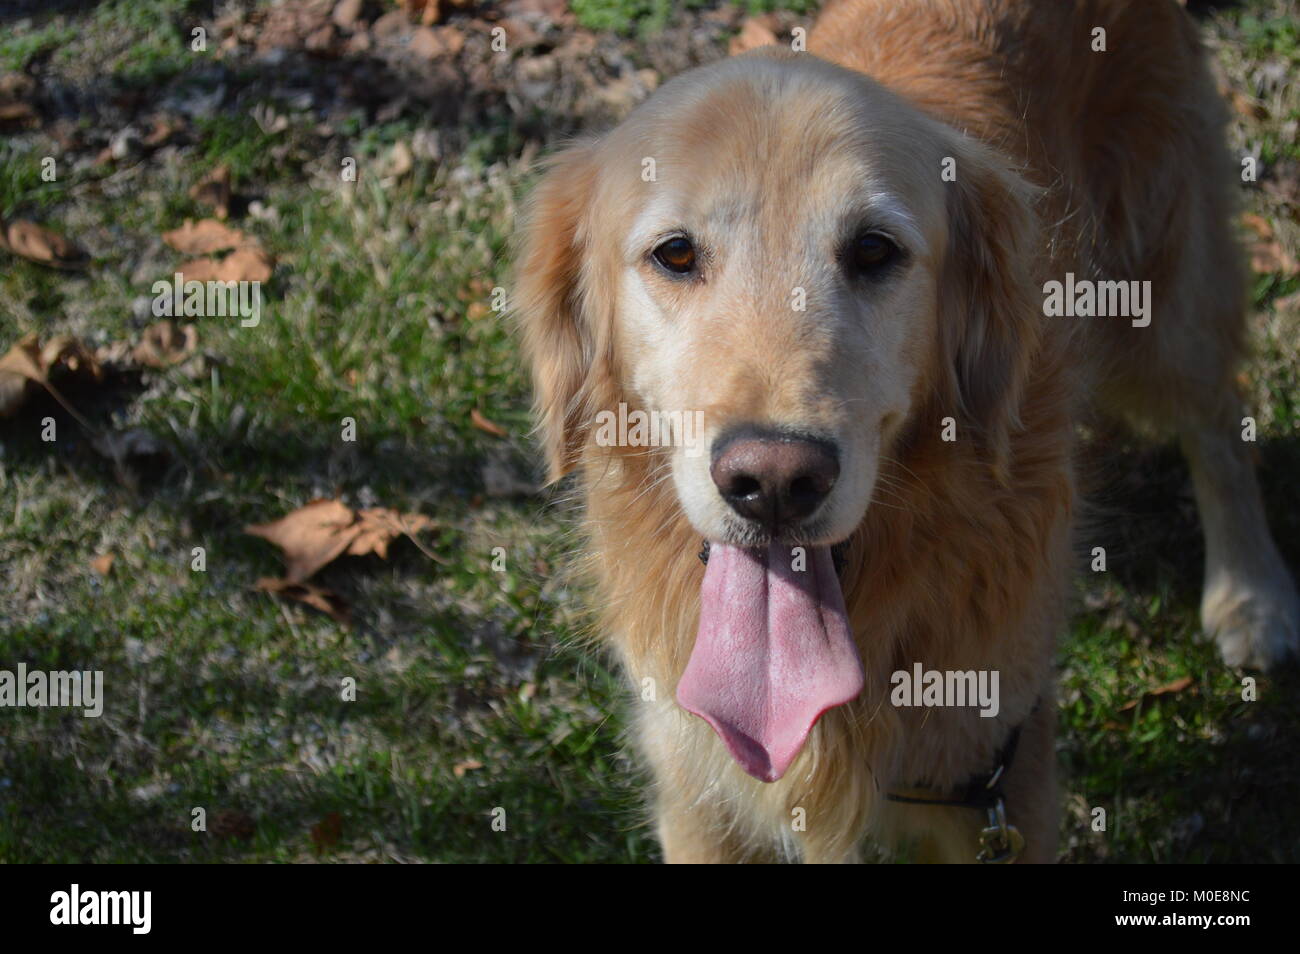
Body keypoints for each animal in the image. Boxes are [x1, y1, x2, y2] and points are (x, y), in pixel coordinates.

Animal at [512, 0, 1294, 868]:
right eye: (675, 253)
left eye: (873, 251)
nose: (774, 481)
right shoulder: (698, 798)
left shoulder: (1001, 776)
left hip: (1164, 304)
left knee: (1219, 426)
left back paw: (1251, 596)